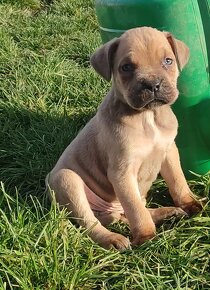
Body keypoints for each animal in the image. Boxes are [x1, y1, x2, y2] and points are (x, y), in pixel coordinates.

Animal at [46, 26, 202, 249]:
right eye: (126, 67)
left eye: (168, 61)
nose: (152, 84)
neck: (148, 116)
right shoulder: (122, 172)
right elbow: (135, 210)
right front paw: (146, 237)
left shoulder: (169, 151)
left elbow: (177, 181)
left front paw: (190, 204)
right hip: (66, 180)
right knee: (92, 223)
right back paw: (113, 239)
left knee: (130, 212)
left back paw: (168, 212)